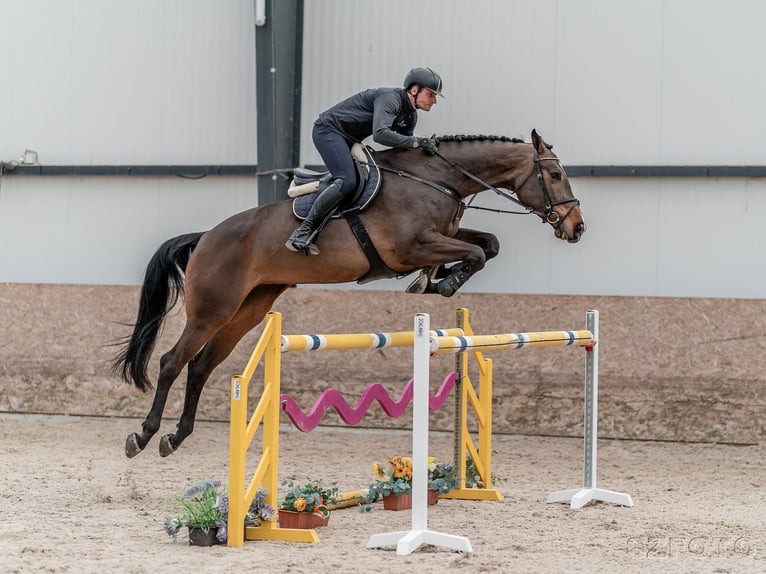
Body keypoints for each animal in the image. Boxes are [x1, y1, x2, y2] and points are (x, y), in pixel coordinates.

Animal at [114, 129, 584, 460]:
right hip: (211, 310)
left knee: (201, 367)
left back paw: (176, 437)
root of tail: (205, 237)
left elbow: (488, 244)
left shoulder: (442, 236)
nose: (576, 227)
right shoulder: (413, 246)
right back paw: (144, 435)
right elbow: (476, 252)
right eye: (555, 175)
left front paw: (435, 281)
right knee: (173, 362)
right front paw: (442, 282)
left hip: (248, 309)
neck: (438, 179)